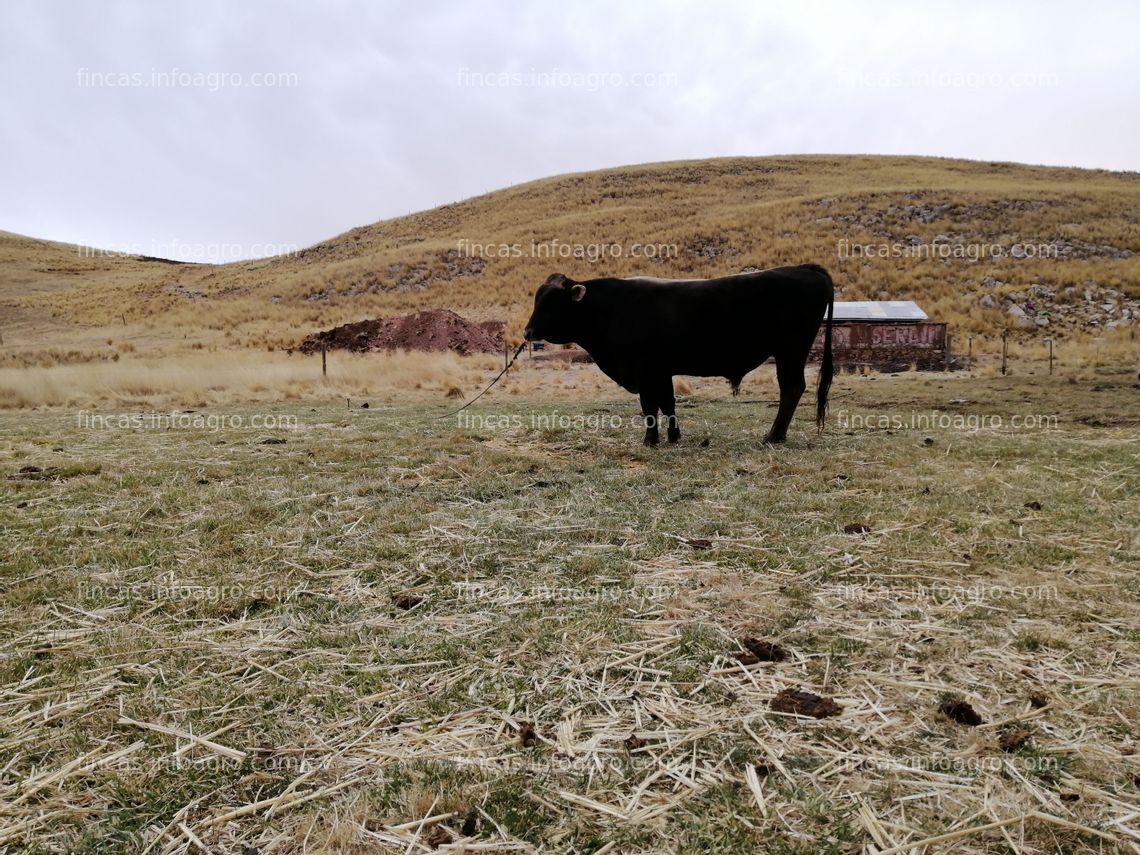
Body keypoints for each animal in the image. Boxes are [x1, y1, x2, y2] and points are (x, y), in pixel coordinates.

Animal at [522, 264, 834, 444]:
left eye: (551, 302)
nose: (527, 331)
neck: (611, 308)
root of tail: (805, 268)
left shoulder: (645, 369)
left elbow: (650, 405)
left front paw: (650, 440)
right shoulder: (661, 370)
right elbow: (668, 403)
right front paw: (673, 437)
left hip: (790, 350)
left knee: (792, 388)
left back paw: (774, 436)